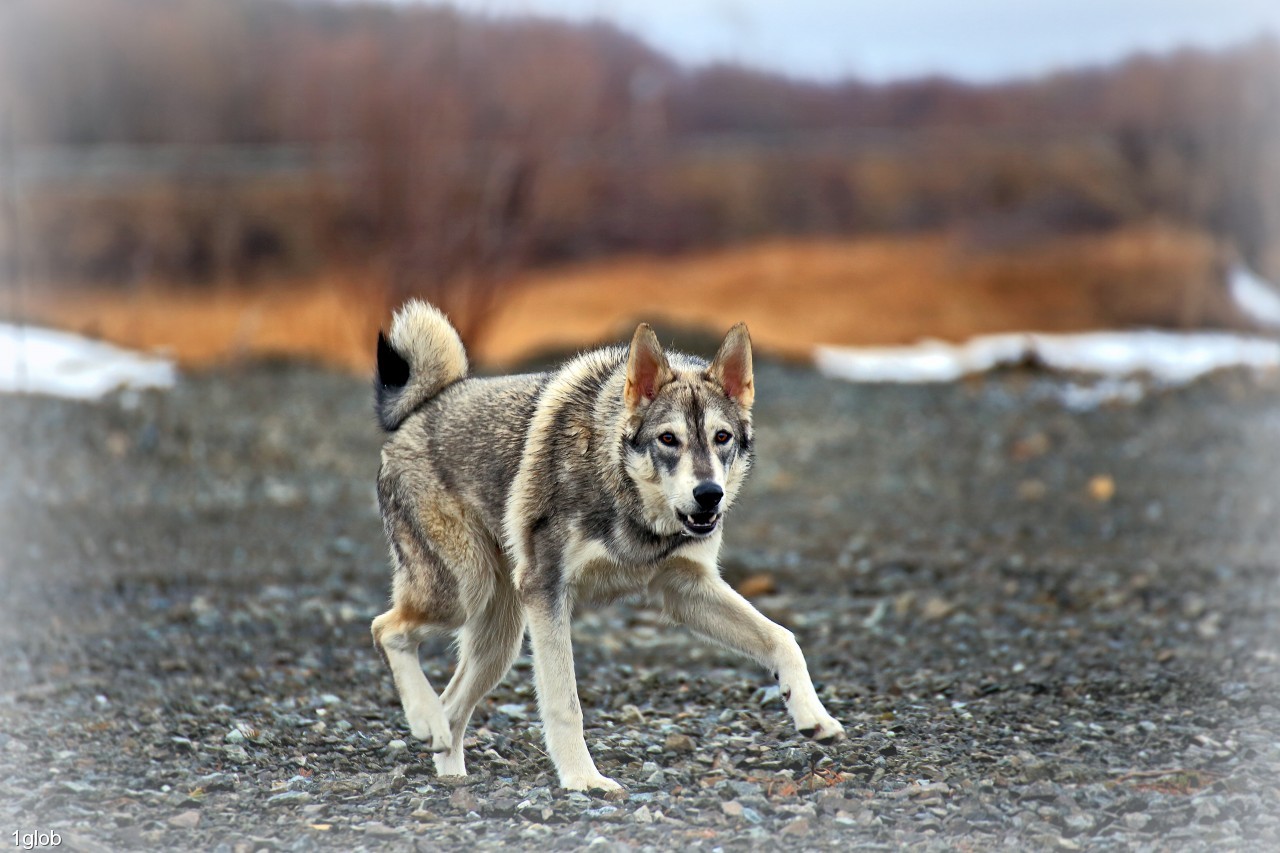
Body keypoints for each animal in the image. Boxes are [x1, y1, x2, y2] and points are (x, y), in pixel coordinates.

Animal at [368, 300, 839, 788]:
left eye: (721, 437)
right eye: (668, 439)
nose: (709, 494)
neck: (627, 495)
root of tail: (427, 404)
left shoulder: (685, 590)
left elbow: (784, 639)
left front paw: (814, 716)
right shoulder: (548, 593)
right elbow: (565, 704)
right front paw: (584, 781)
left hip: (498, 639)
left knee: (453, 705)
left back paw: (449, 770)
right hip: (464, 593)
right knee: (386, 629)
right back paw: (425, 721)